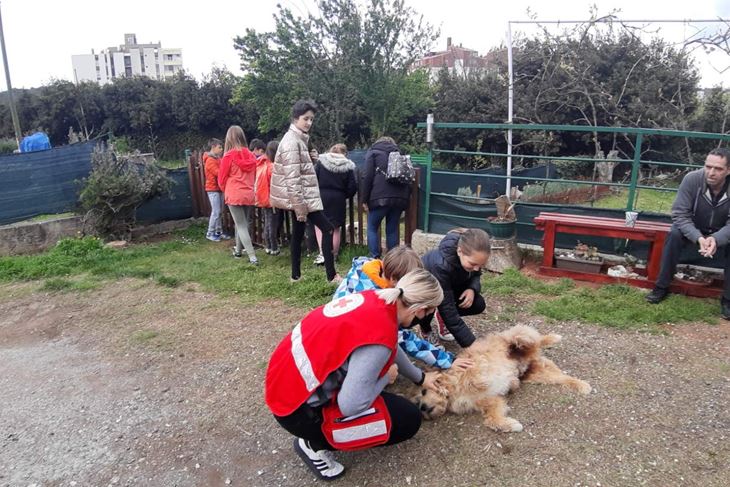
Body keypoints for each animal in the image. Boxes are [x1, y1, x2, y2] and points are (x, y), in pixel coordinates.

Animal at [412, 326, 588, 432]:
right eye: (417, 401)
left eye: (424, 391)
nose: (422, 408)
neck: (453, 394)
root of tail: (531, 356)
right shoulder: (491, 401)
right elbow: (492, 419)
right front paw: (511, 424)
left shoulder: (469, 369)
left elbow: (477, 375)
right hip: (537, 374)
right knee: (560, 377)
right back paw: (581, 385)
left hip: (517, 338)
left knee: (530, 337)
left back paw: (552, 338)